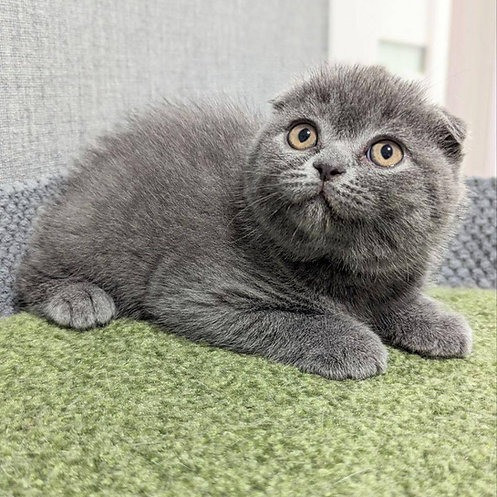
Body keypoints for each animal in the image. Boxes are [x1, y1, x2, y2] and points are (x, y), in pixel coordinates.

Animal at [16, 64, 472, 378]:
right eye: (303, 135)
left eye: (386, 152)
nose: (327, 166)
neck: (338, 268)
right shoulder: (194, 293)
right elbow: (288, 319)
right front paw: (352, 341)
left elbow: (397, 300)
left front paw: (436, 320)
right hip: (87, 225)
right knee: (32, 271)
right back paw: (77, 297)